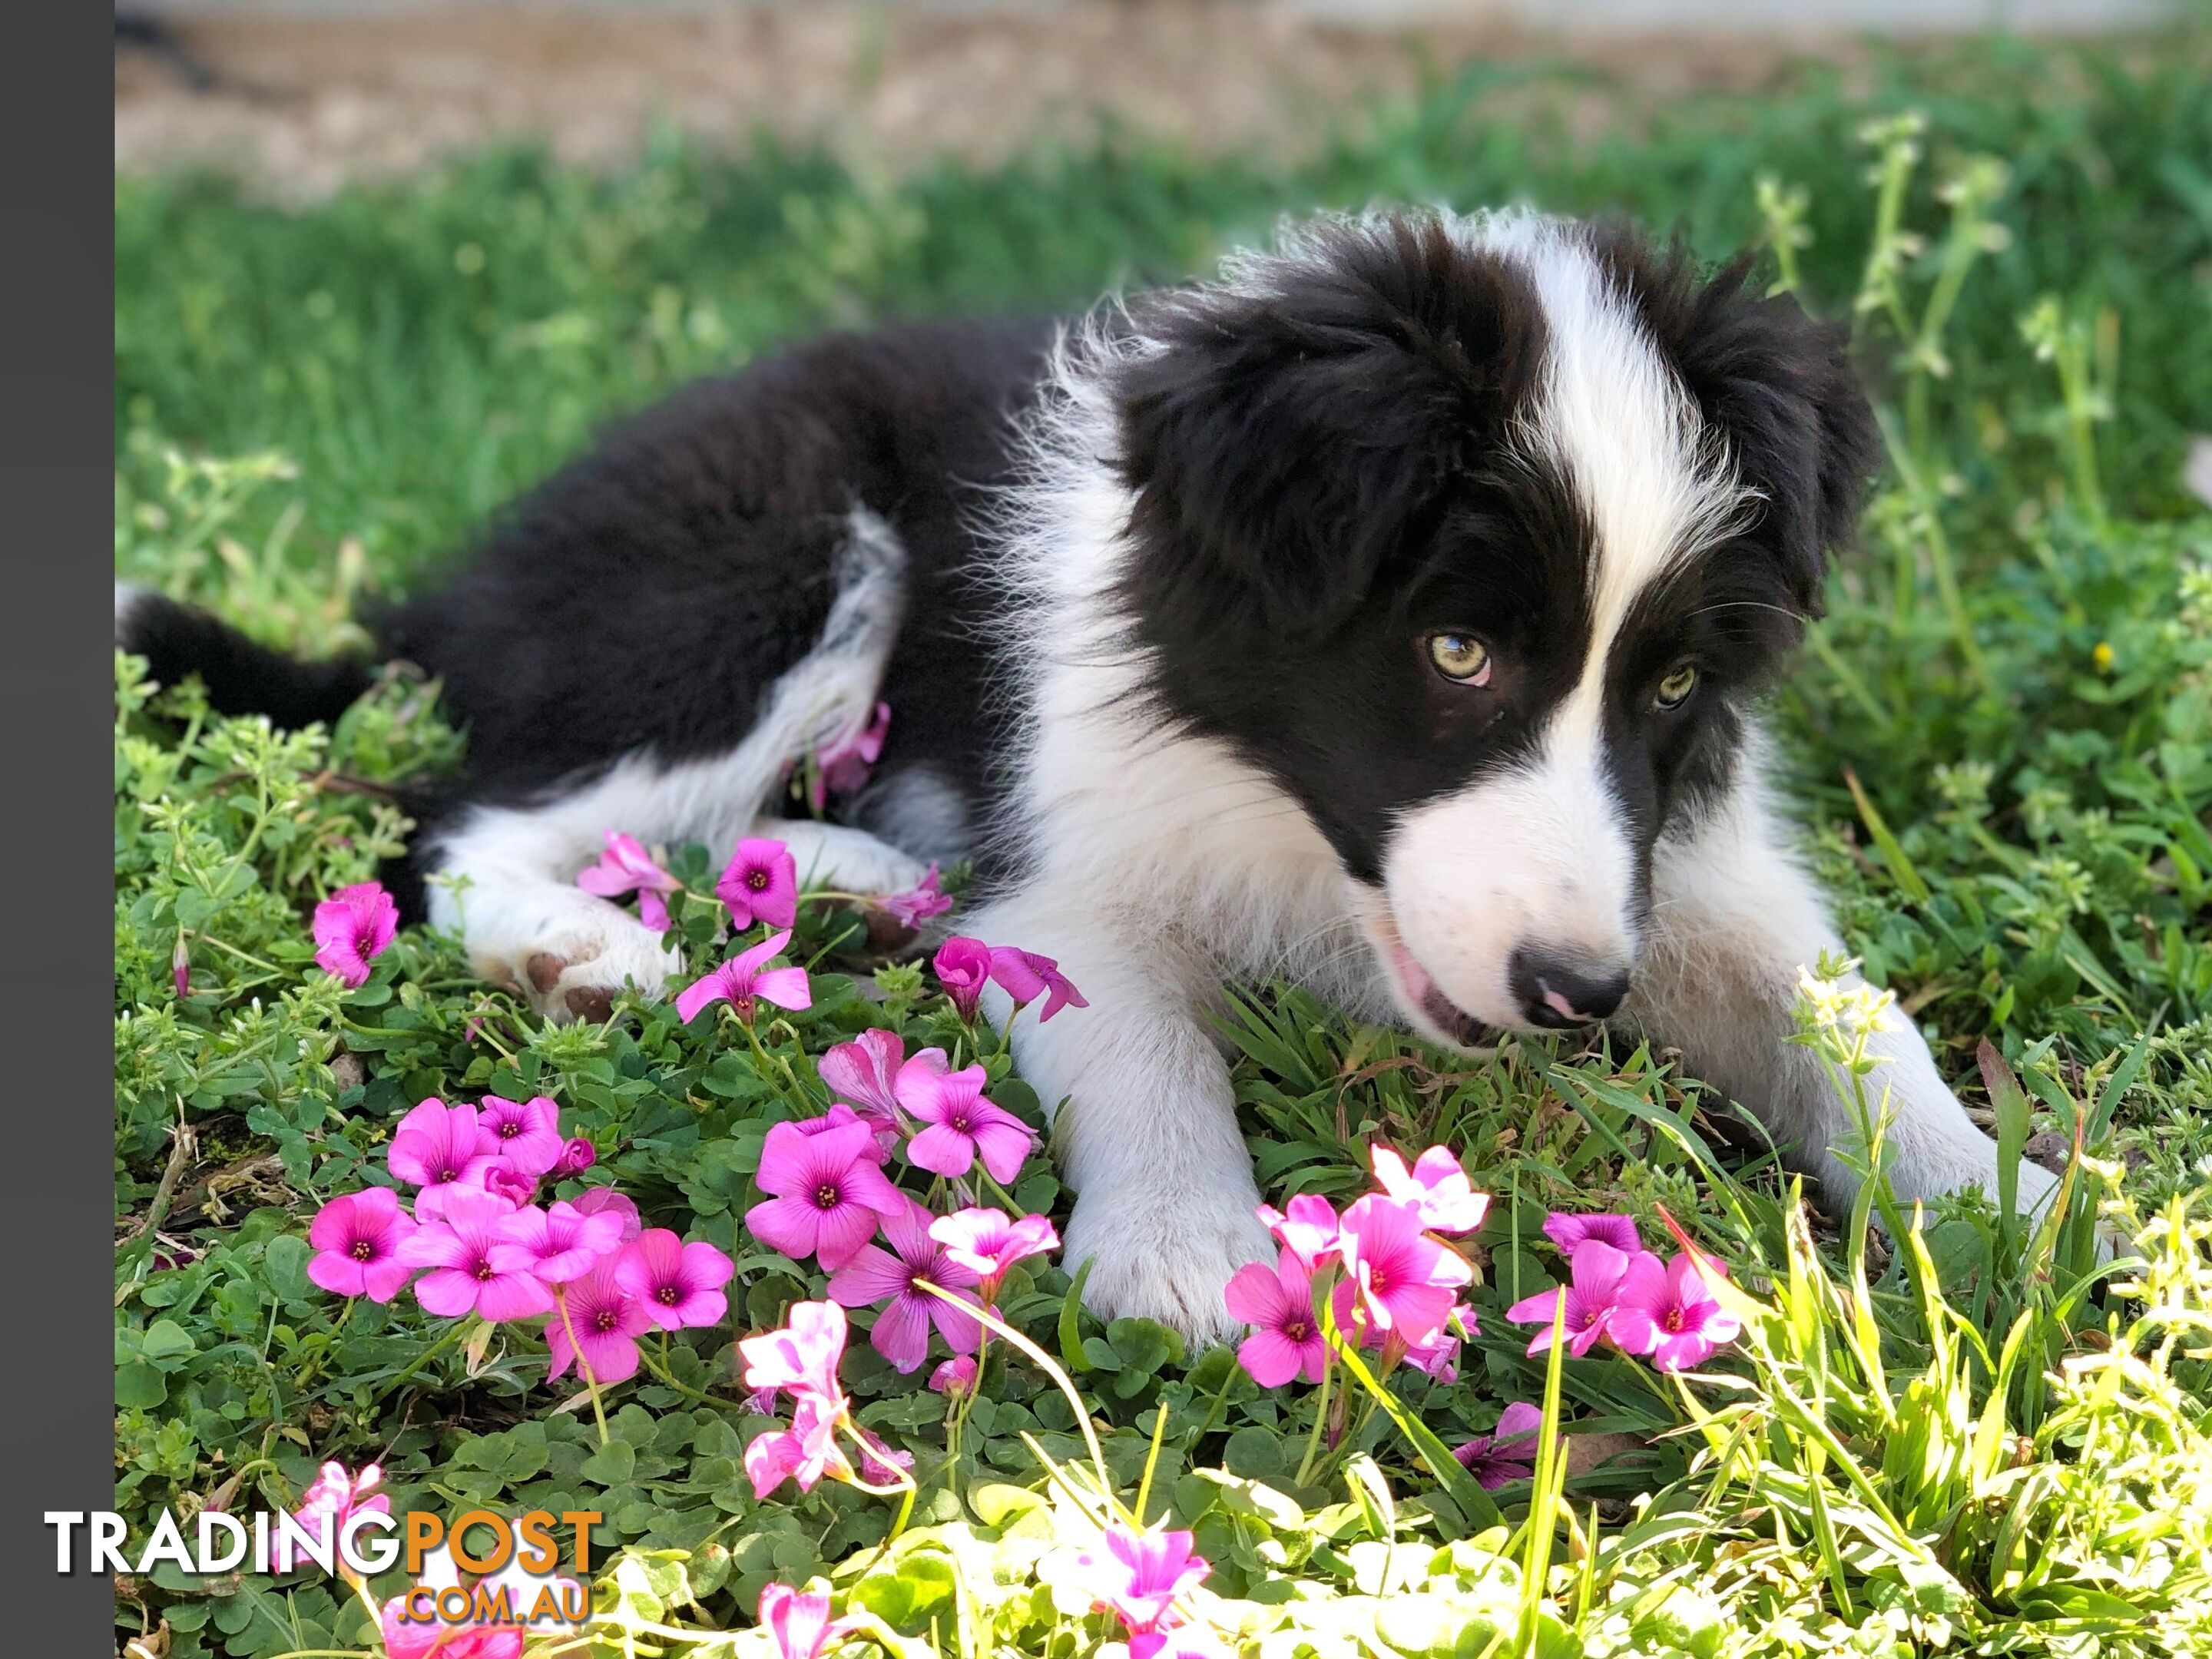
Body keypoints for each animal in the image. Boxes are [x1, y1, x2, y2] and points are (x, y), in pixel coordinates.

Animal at [121, 211, 2052, 1353]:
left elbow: (1845, 1012)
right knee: (461, 814)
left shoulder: (1688, 859)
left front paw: (2008, 1207)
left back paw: (840, 886)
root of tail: (451, 588)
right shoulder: (1073, 845)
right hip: (768, 551)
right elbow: (1142, 1033)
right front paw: (1195, 1252)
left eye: (1669, 682)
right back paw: (581, 947)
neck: (1289, 814)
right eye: (1456, 652)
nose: (1578, 992)